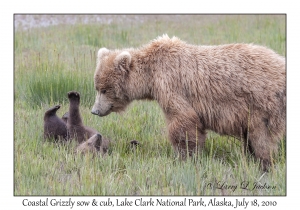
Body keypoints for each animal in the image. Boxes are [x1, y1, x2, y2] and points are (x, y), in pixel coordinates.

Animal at [91, 34, 286, 171]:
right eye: (97, 87)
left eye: (105, 89)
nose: (94, 110)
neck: (151, 77)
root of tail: (281, 62)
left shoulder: (172, 86)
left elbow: (183, 121)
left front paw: (185, 156)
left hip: (261, 104)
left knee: (261, 137)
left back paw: (264, 163)